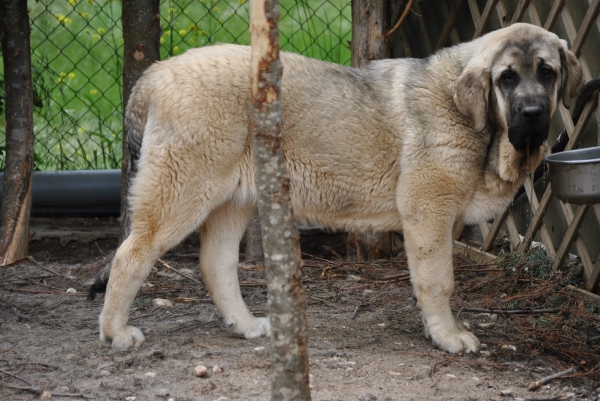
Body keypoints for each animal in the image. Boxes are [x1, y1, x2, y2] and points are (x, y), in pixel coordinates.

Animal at [91, 23, 584, 352]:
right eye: (506, 78)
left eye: (547, 72)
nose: (534, 113)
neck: (475, 119)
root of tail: (155, 74)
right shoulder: (429, 211)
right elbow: (438, 281)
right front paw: (447, 336)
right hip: (181, 193)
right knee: (130, 256)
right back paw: (115, 332)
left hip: (234, 199)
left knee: (216, 264)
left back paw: (245, 325)